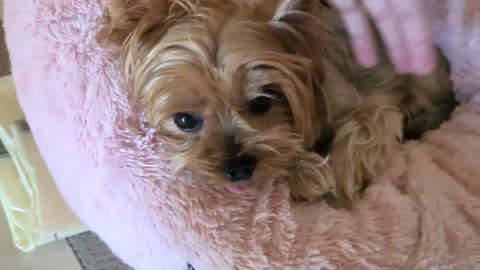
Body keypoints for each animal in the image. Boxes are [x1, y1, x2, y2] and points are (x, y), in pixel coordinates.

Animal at [98, 0, 458, 207]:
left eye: (262, 102)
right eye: (185, 120)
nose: (237, 168)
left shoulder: (372, 108)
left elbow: (362, 131)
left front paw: (333, 184)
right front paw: (306, 170)